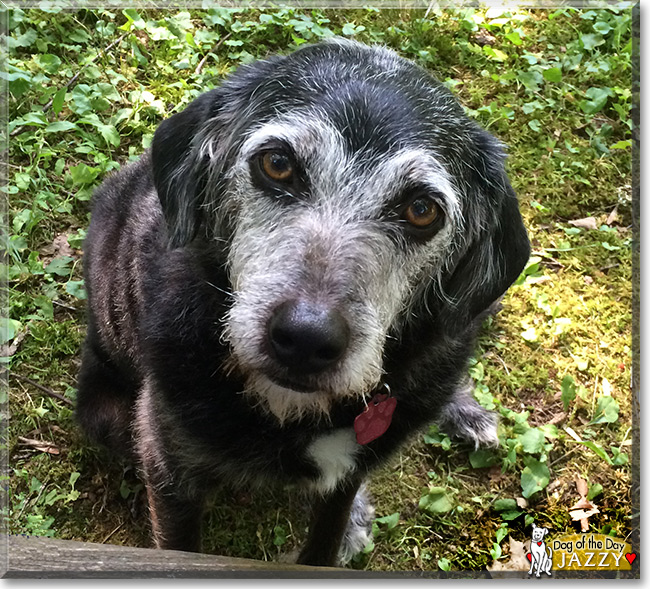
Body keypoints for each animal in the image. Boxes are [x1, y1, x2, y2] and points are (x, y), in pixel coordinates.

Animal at [76, 40, 528, 564]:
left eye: (421, 210)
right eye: (277, 163)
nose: (305, 340)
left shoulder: (351, 472)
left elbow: (327, 534)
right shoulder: (170, 467)